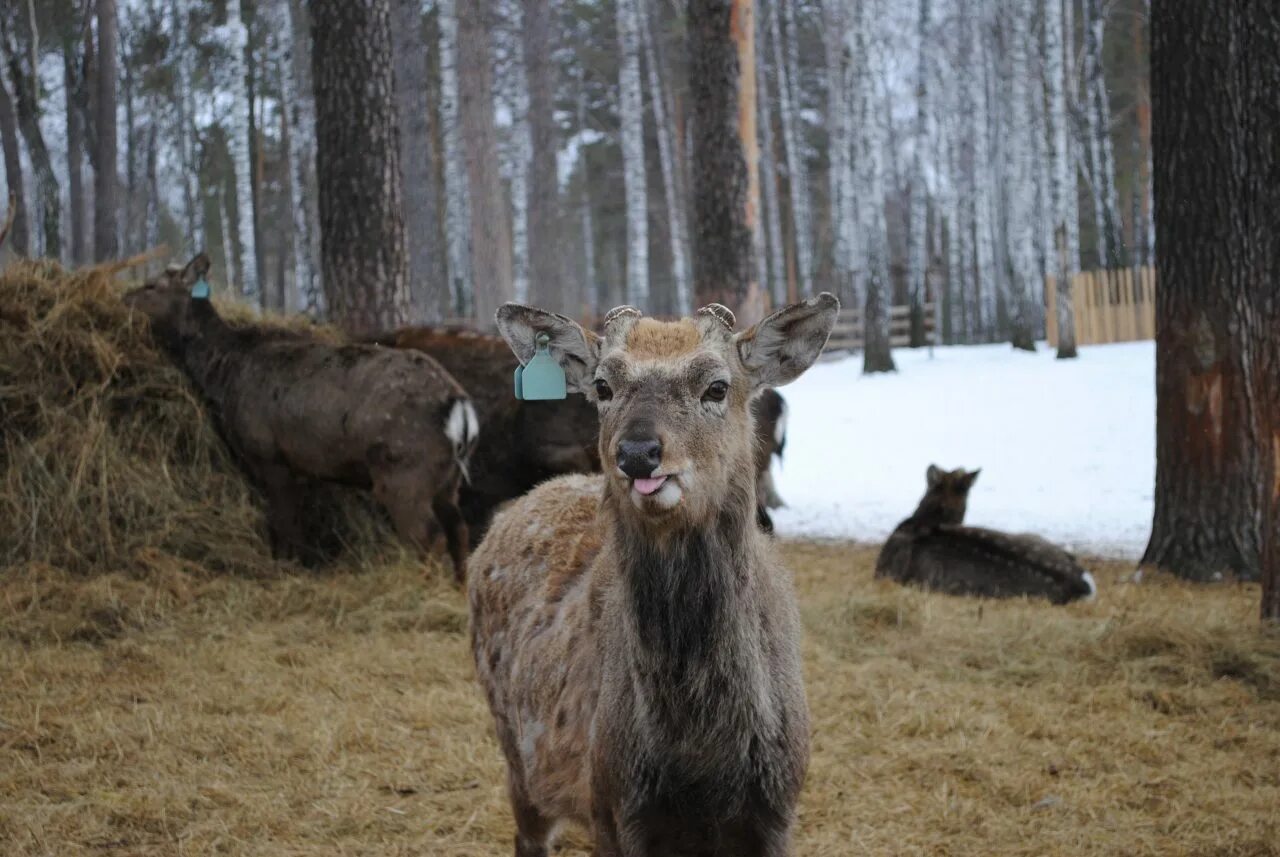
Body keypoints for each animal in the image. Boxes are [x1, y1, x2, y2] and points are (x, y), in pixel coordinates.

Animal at [122, 251, 481, 580]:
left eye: (152, 285)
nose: (123, 298)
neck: (225, 374)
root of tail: (460, 408)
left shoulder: (268, 452)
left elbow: (283, 522)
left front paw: (286, 567)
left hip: (403, 470)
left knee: (429, 535)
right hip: (448, 477)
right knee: (459, 529)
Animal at [468, 295, 839, 857]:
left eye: (717, 387)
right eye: (603, 386)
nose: (638, 453)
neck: (702, 759)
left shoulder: (777, 806)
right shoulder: (613, 803)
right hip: (514, 747)